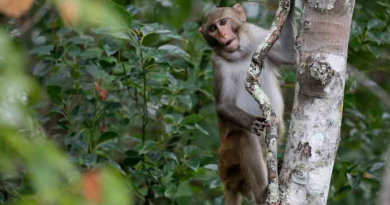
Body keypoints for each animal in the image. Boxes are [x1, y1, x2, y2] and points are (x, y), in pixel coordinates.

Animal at [201, 2, 296, 205]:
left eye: (223, 22)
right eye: (212, 29)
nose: (222, 35)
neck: (240, 53)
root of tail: (228, 183)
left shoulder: (258, 36)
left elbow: (289, 54)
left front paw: (290, 6)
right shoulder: (218, 63)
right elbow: (223, 105)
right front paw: (250, 122)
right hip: (227, 161)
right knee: (243, 138)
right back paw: (262, 194)